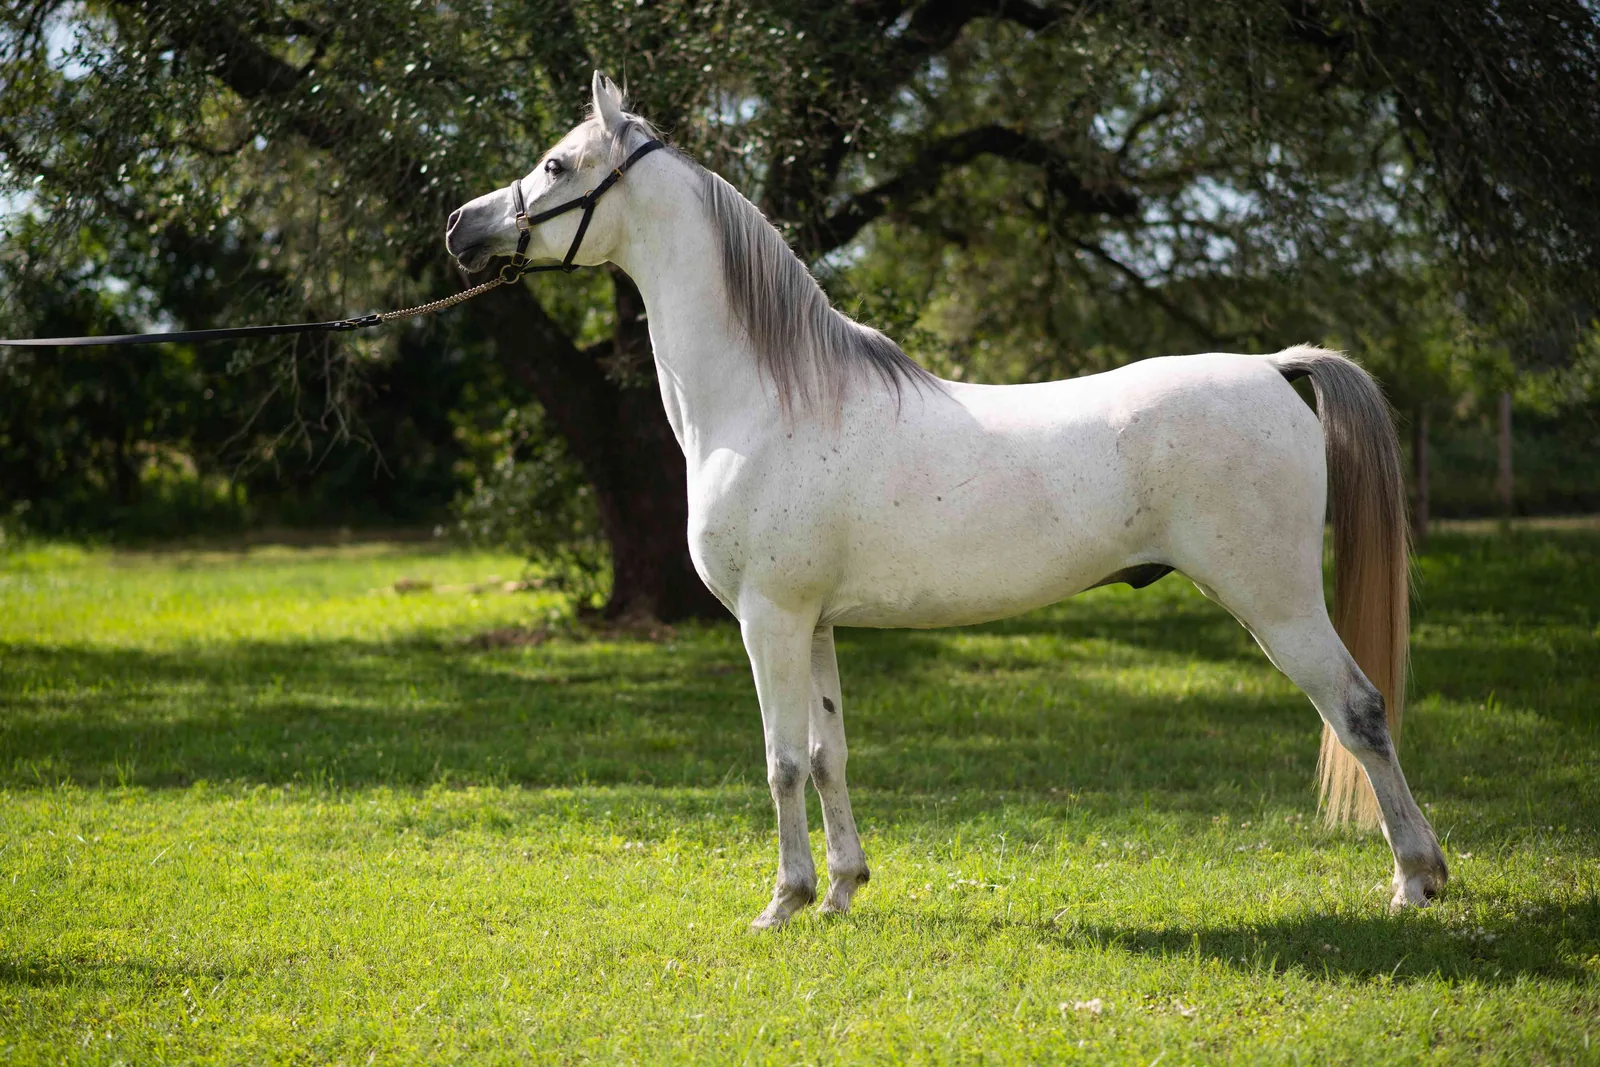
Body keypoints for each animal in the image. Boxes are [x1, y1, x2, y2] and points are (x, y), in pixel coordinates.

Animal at [445, 72, 1448, 930]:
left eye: (557, 165)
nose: (460, 225)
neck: (768, 396)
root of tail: (1274, 367)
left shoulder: (769, 618)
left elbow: (780, 762)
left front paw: (784, 900)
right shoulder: (815, 622)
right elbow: (827, 754)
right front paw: (842, 890)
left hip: (1277, 602)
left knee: (1359, 710)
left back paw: (1416, 878)